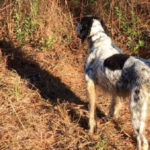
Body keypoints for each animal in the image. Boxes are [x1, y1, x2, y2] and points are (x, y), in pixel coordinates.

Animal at [76, 15, 150, 149]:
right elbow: (113, 106)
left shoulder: (90, 84)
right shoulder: (116, 88)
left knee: (143, 141)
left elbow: (91, 112)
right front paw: (109, 118)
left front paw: (91, 131)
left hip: (136, 112)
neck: (99, 40)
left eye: (81, 22)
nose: (75, 23)